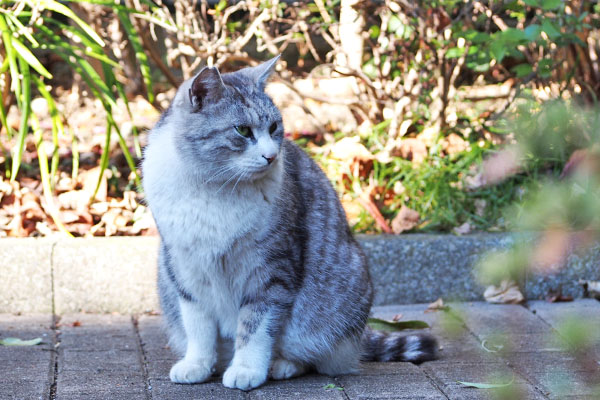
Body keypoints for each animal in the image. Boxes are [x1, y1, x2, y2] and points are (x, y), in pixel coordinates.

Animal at [143, 56, 438, 390]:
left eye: (273, 127)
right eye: (242, 130)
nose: (271, 156)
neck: (214, 188)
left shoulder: (271, 271)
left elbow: (256, 328)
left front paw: (246, 369)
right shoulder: (185, 269)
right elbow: (198, 327)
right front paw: (197, 364)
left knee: (313, 355)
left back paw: (281, 365)